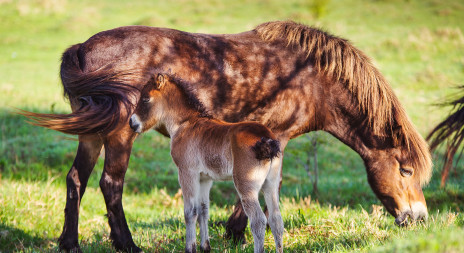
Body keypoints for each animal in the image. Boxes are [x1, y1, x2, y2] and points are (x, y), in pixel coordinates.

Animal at [129, 72, 284, 251]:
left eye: (146, 98)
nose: (132, 123)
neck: (185, 124)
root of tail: (267, 140)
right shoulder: (205, 178)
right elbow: (204, 210)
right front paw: (205, 247)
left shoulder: (187, 173)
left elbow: (190, 212)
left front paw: (190, 248)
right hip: (270, 183)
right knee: (276, 220)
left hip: (247, 185)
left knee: (258, 221)